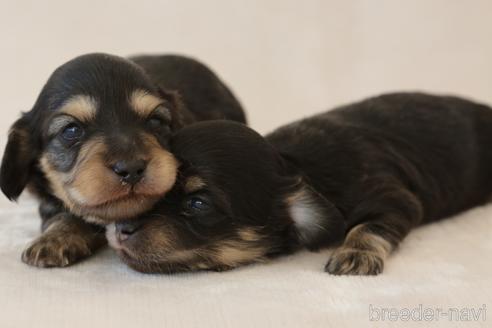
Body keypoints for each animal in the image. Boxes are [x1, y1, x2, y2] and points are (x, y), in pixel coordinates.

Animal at [107, 93, 492, 276]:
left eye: (198, 204)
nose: (120, 228)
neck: (300, 166)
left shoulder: (395, 197)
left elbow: (370, 226)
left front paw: (355, 255)